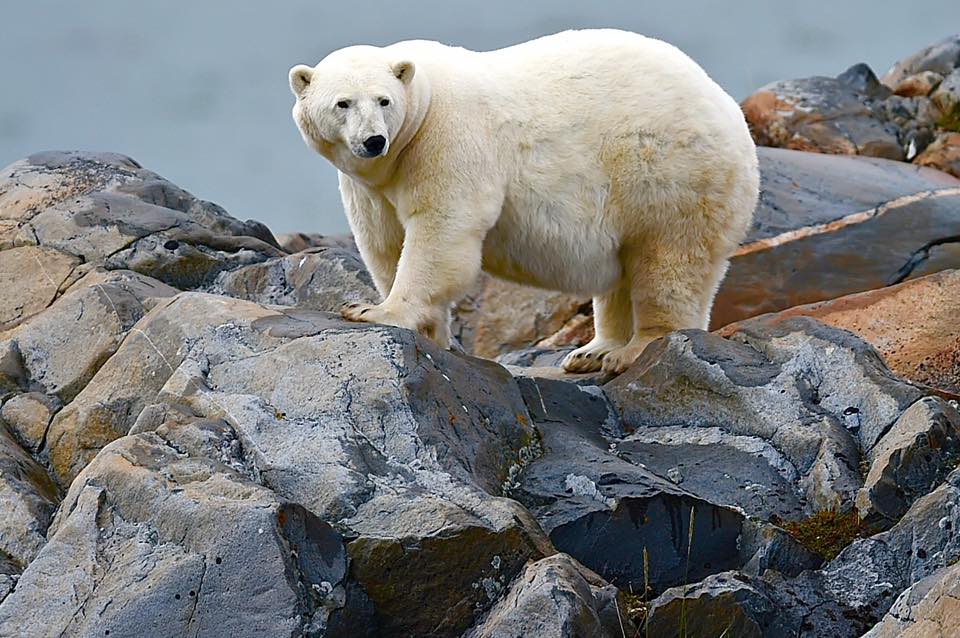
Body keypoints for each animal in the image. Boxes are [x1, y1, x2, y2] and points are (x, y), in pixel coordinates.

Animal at [289, 29, 759, 374]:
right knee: (624, 272)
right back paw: (592, 351)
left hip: (670, 171)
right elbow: (383, 242)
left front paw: (373, 311)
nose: (373, 140)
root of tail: (730, 111)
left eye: (383, 100)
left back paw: (631, 351)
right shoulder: (374, 182)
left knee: (668, 261)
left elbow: (441, 229)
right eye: (342, 103)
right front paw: (429, 330)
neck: (422, 104)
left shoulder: (448, 139)